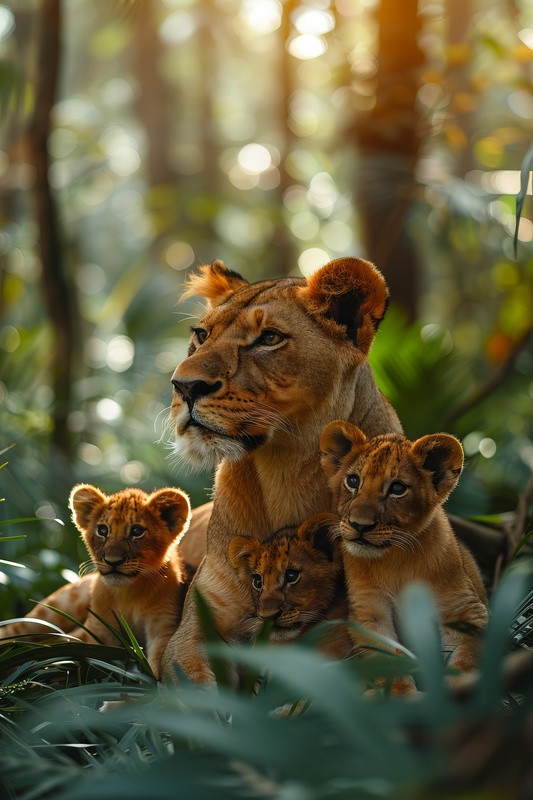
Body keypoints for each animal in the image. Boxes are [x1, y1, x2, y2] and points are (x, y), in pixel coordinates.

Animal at [320, 420, 488, 696]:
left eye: (397, 488)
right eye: (353, 481)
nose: (359, 525)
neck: (395, 558)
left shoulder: (463, 607)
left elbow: (467, 656)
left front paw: (459, 689)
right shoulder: (369, 611)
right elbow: (387, 656)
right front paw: (399, 694)